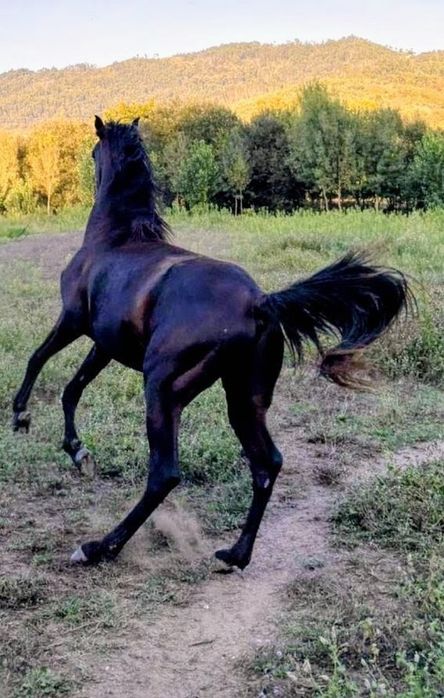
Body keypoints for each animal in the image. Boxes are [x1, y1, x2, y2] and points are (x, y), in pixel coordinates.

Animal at [12, 116, 412, 569]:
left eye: (94, 151)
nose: (88, 168)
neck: (114, 239)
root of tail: (260, 302)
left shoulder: (73, 320)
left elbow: (37, 359)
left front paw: (20, 416)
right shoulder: (104, 344)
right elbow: (73, 388)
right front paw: (78, 453)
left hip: (162, 389)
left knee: (165, 473)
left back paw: (99, 547)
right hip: (244, 398)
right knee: (267, 464)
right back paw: (236, 554)